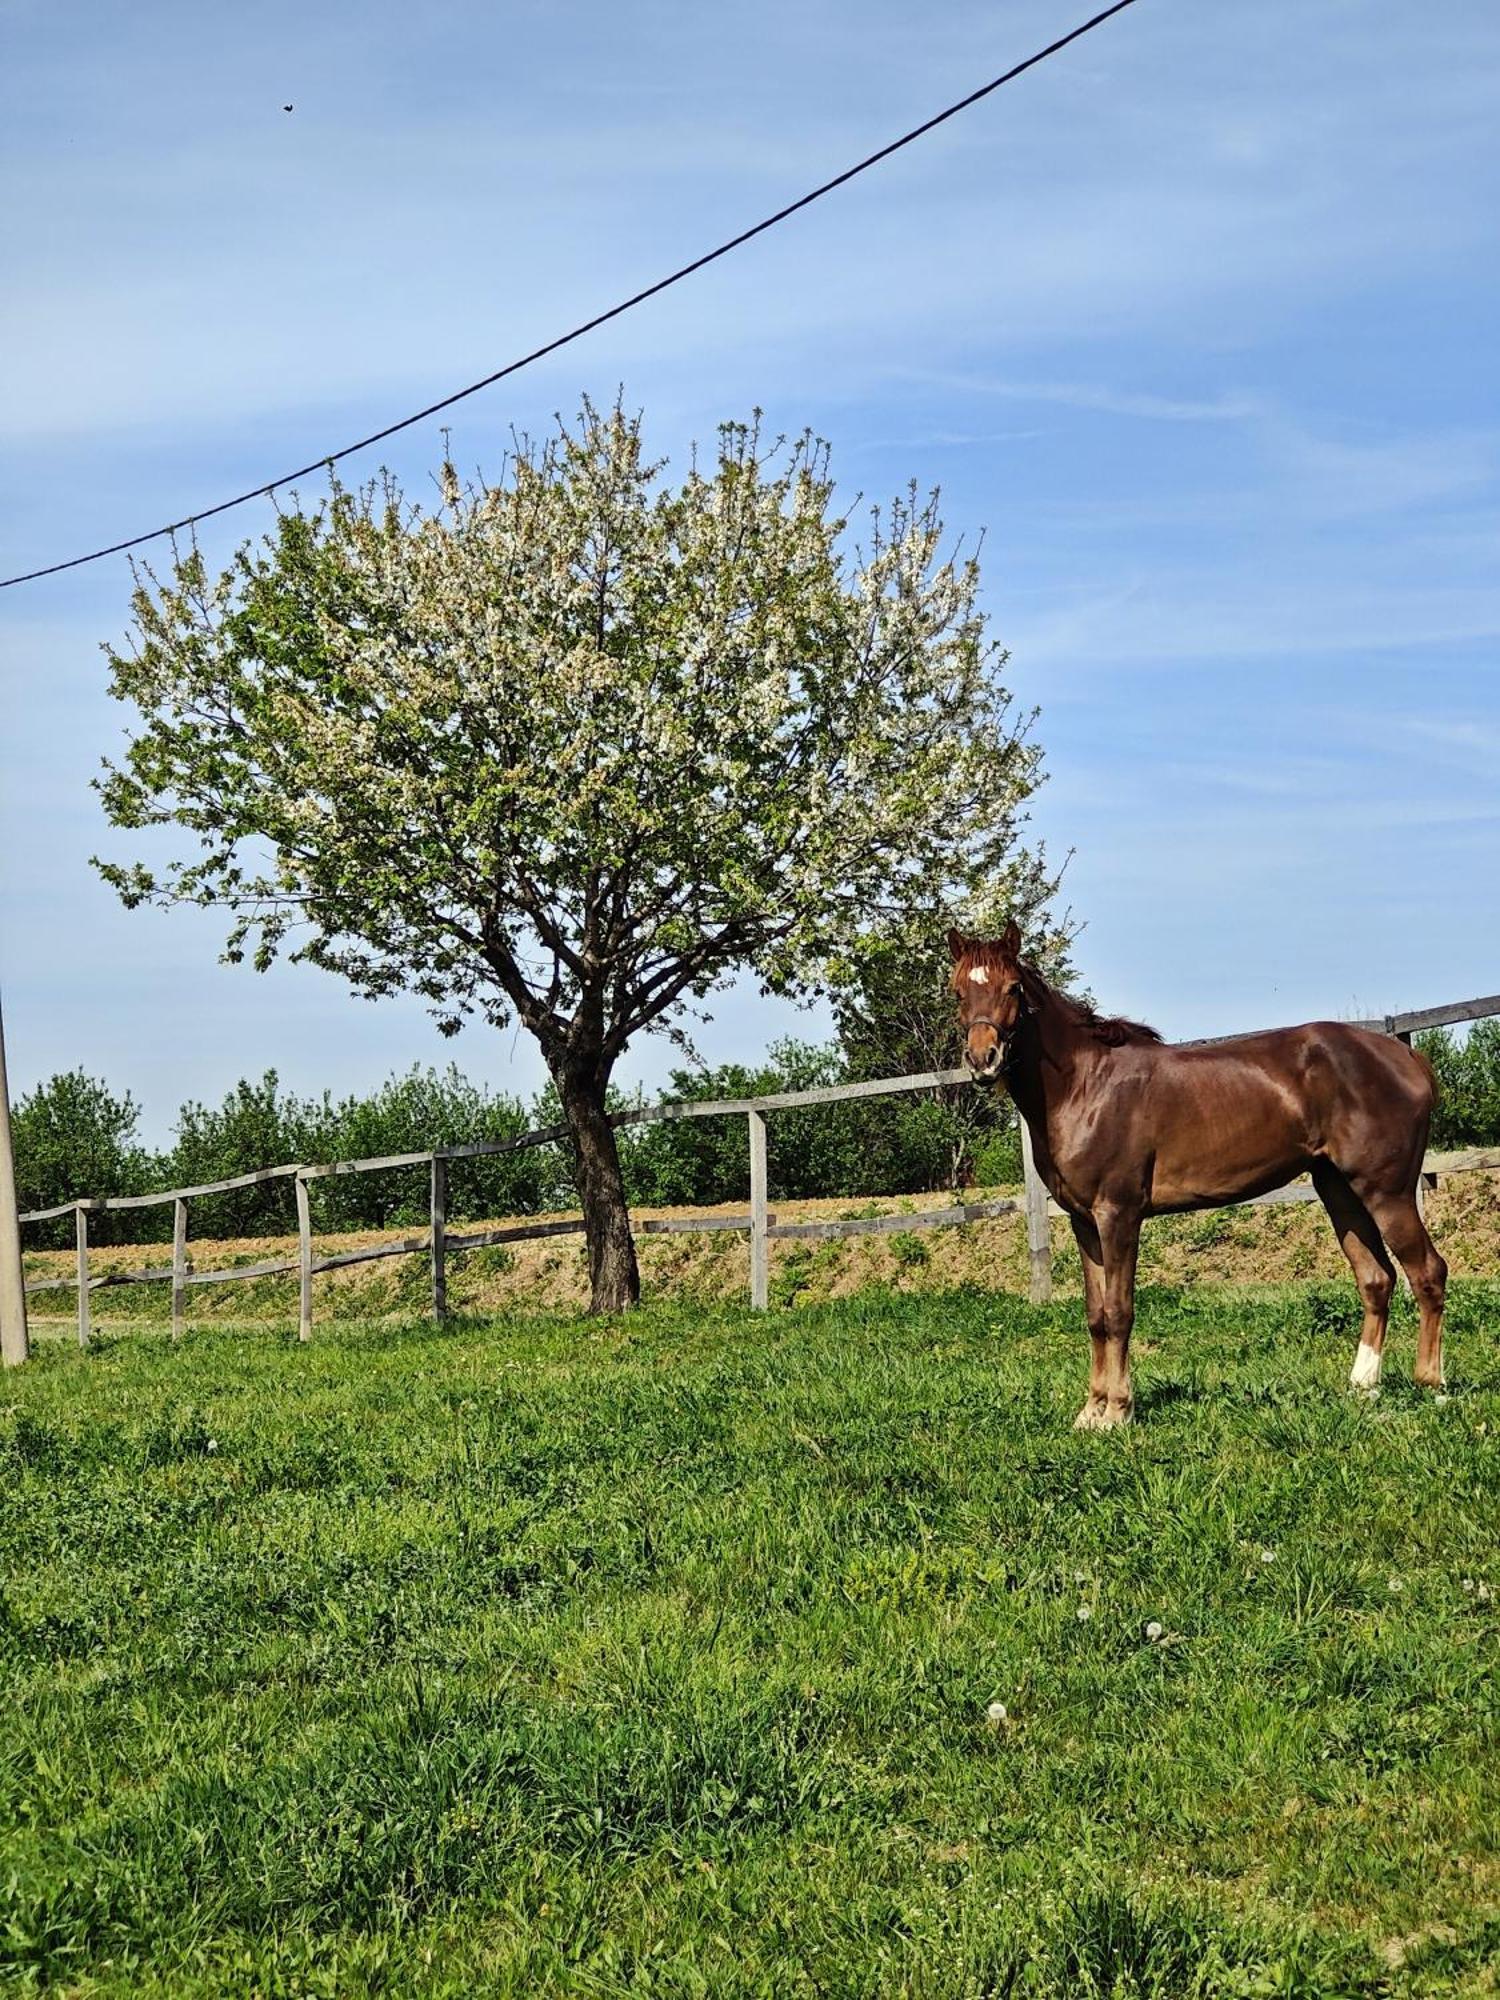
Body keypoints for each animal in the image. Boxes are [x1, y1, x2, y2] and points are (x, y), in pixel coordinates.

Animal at [952, 928, 1456, 1432]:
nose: (983, 1060)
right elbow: (1095, 1314)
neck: (1085, 1086)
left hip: (1386, 1191)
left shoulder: (1118, 1215)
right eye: (958, 992)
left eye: (1012, 988)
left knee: (1427, 1272)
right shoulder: (1083, 1222)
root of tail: (1409, 1058)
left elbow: (1119, 1311)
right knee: (1376, 1278)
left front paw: (1118, 1410)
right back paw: (1362, 1385)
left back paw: (1431, 1384)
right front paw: (1091, 1410)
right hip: (1339, 1191)